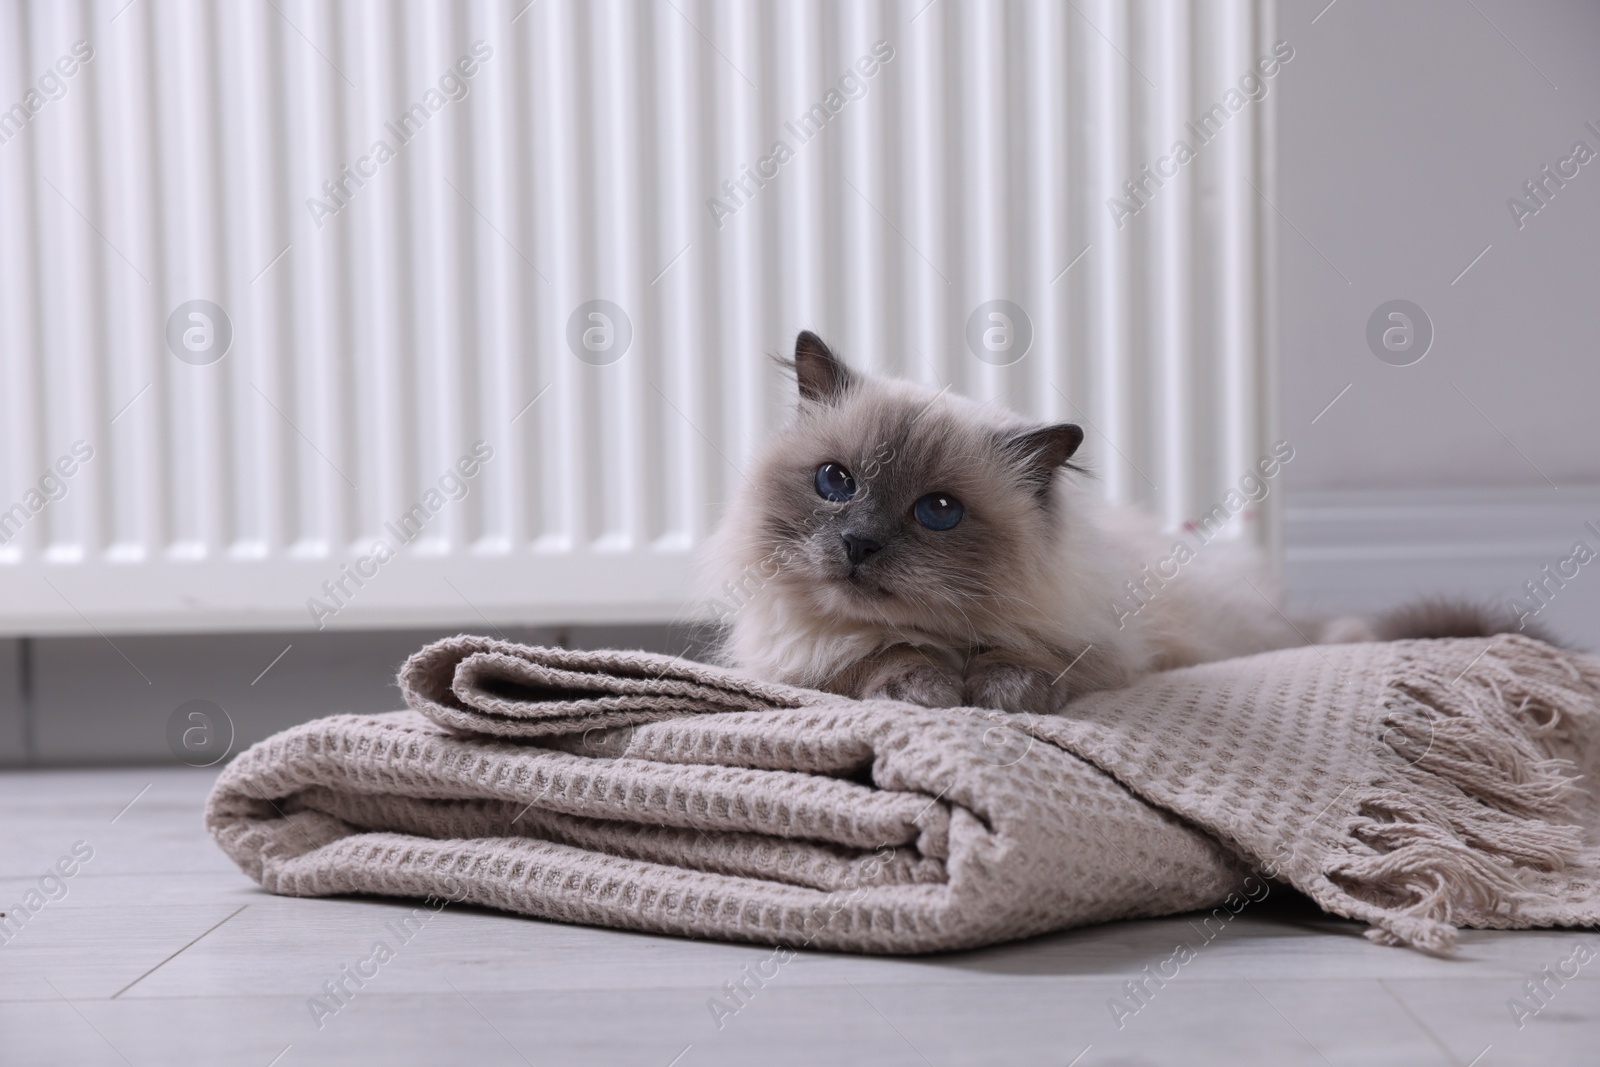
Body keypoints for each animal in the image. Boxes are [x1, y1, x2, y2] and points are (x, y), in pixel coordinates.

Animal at [704, 329, 1536, 713]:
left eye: (937, 511)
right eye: (835, 482)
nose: (858, 543)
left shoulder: (1100, 649)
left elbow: (1025, 663)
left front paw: (993, 695)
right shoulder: (793, 657)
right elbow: (871, 656)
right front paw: (927, 687)